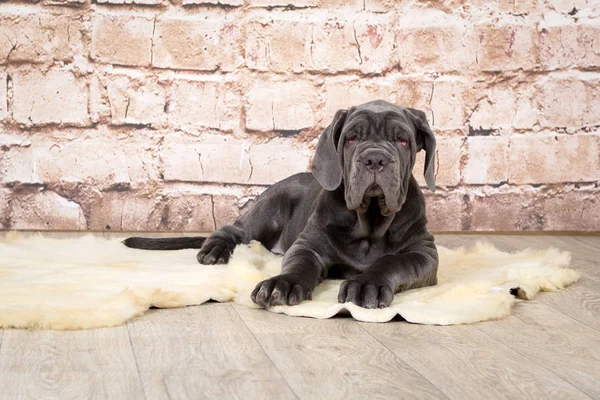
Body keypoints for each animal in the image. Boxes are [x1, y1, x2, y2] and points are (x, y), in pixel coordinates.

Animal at [124, 100, 438, 310]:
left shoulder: (424, 253)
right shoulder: (309, 244)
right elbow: (299, 264)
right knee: (231, 230)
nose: (375, 159)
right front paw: (281, 284)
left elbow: (393, 261)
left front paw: (367, 283)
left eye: (402, 140)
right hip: (266, 214)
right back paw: (215, 250)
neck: (369, 221)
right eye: (351, 138)